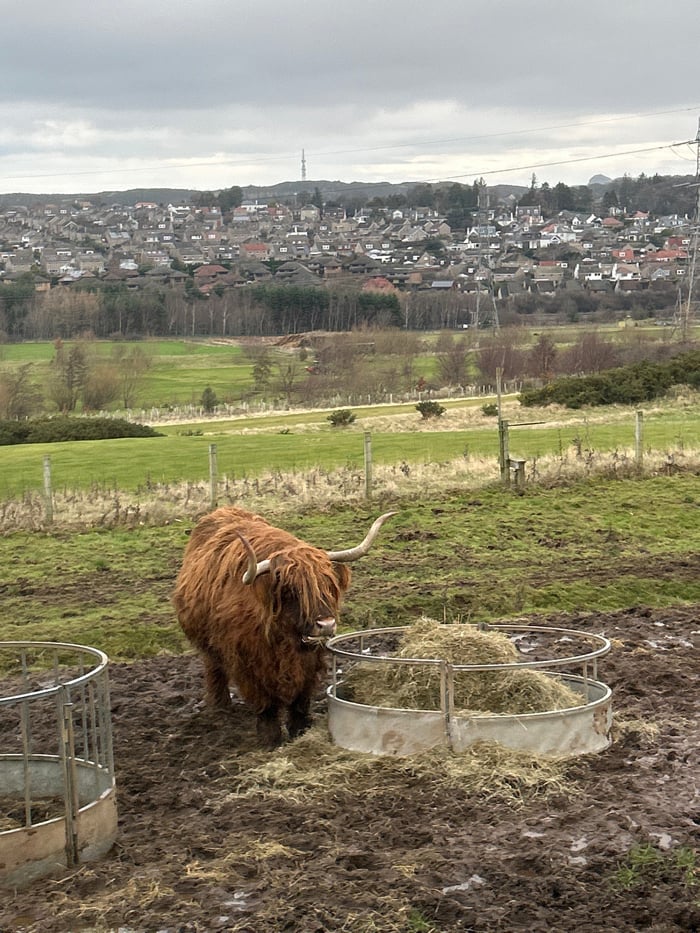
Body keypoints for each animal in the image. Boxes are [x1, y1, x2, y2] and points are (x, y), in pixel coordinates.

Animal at [173, 506, 395, 746]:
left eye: (328, 585)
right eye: (291, 590)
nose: (326, 625)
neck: (284, 640)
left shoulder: (311, 663)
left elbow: (300, 701)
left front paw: (300, 731)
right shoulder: (246, 661)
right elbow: (265, 704)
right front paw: (271, 739)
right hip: (209, 646)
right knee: (214, 669)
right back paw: (219, 707)